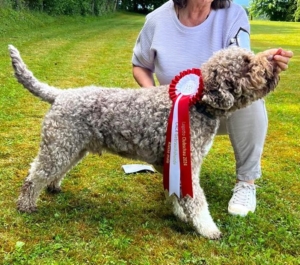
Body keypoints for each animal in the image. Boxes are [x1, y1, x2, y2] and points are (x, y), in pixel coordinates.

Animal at [9, 44, 282, 238]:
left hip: (72, 147)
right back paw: (26, 205)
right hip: (58, 146)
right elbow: (196, 202)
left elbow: (178, 195)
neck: (196, 104)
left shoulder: (176, 164)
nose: (273, 61)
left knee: (54, 172)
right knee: (34, 176)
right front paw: (208, 229)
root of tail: (60, 95)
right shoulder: (188, 165)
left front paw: (180, 214)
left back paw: (53, 187)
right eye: (246, 62)